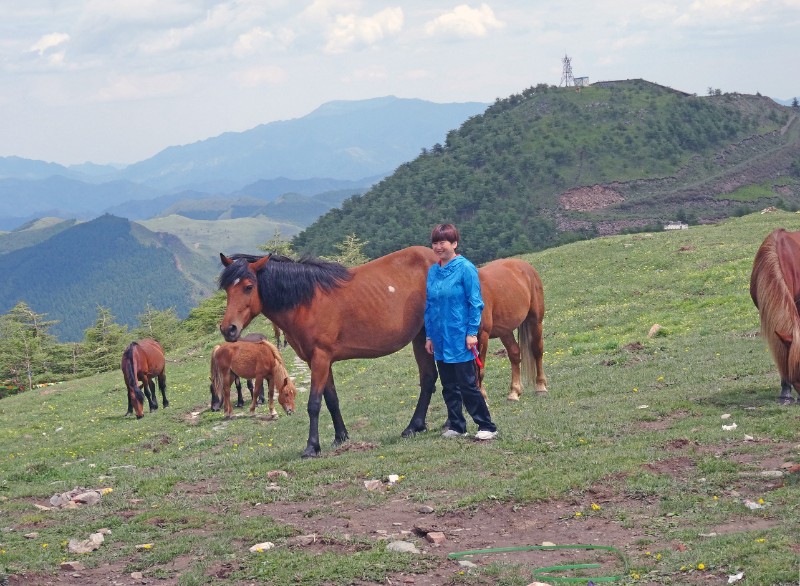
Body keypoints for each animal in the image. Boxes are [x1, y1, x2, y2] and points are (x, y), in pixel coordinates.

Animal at [217, 246, 438, 456]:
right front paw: (340, 437)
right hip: (420, 337)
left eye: (248, 287)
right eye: (227, 289)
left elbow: (314, 404)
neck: (306, 302)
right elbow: (331, 400)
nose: (229, 329)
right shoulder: (318, 361)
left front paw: (312, 447)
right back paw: (415, 427)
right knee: (428, 378)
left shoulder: (320, 359)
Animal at [478, 258, 548, 400]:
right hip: (505, 331)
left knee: (537, 350)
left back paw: (540, 386)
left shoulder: (482, 335)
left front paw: (482, 398)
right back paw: (514, 392)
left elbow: (478, 370)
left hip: (535, 321)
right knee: (515, 353)